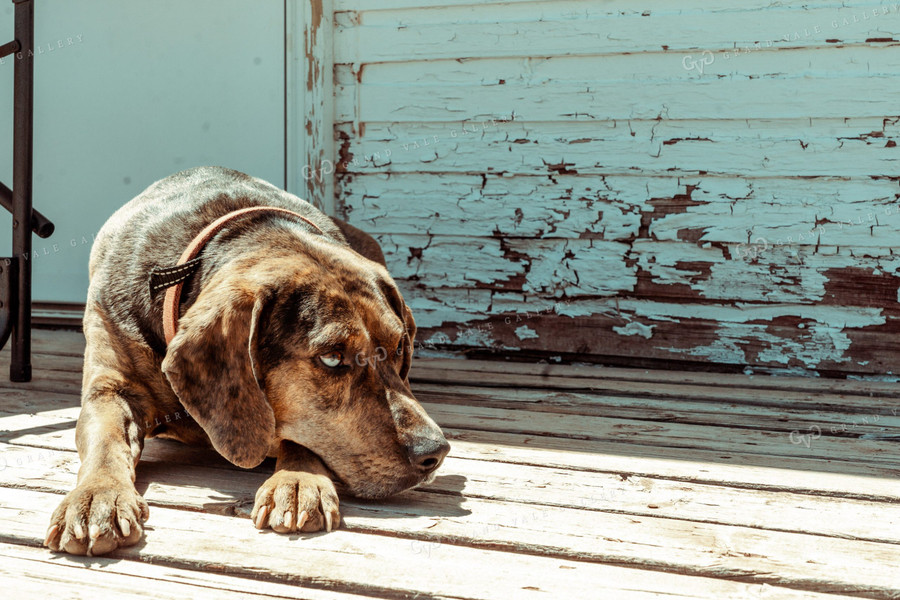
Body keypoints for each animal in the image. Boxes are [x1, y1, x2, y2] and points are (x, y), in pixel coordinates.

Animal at [43, 166, 450, 556]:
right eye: (333, 358)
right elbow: (106, 440)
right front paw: (98, 498)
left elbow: (299, 431)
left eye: (400, 347)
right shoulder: (109, 386)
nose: (434, 452)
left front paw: (298, 480)